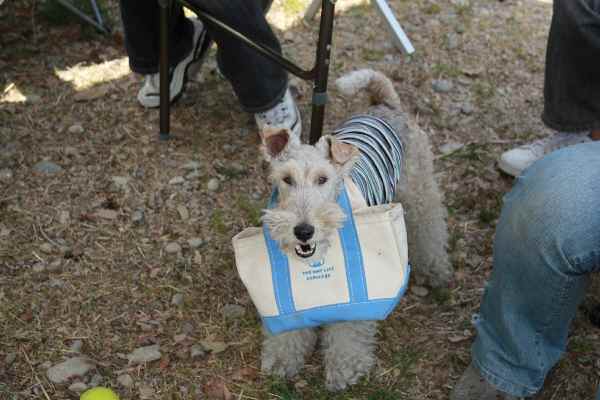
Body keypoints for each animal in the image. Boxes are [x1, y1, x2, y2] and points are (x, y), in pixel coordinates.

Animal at [258, 69, 452, 391]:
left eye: (323, 178)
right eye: (286, 179)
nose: (303, 231)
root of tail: (385, 104)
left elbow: (348, 331)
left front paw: (344, 369)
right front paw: (282, 359)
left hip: (420, 192)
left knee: (431, 229)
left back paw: (436, 271)